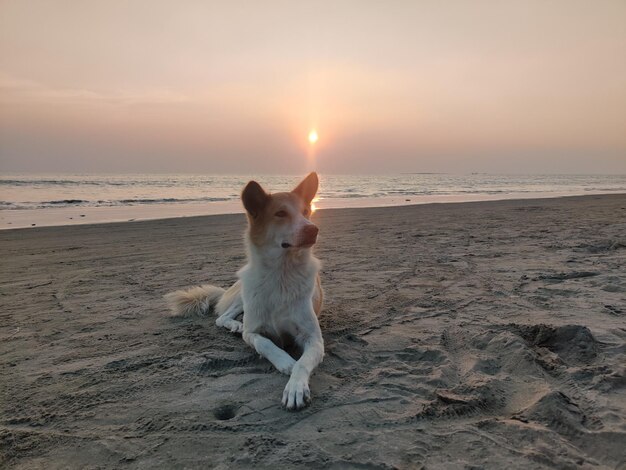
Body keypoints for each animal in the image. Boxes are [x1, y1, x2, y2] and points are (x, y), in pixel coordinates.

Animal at [163, 173, 324, 412]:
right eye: (280, 213)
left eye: (306, 211)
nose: (313, 229)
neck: (281, 274)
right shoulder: (253, 332)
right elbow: (265, 343)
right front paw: (285, 361)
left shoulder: (314, 339)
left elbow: (303, 364)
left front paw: (295, 388)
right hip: (244, 296)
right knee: (222, 317)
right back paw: (234, 325)